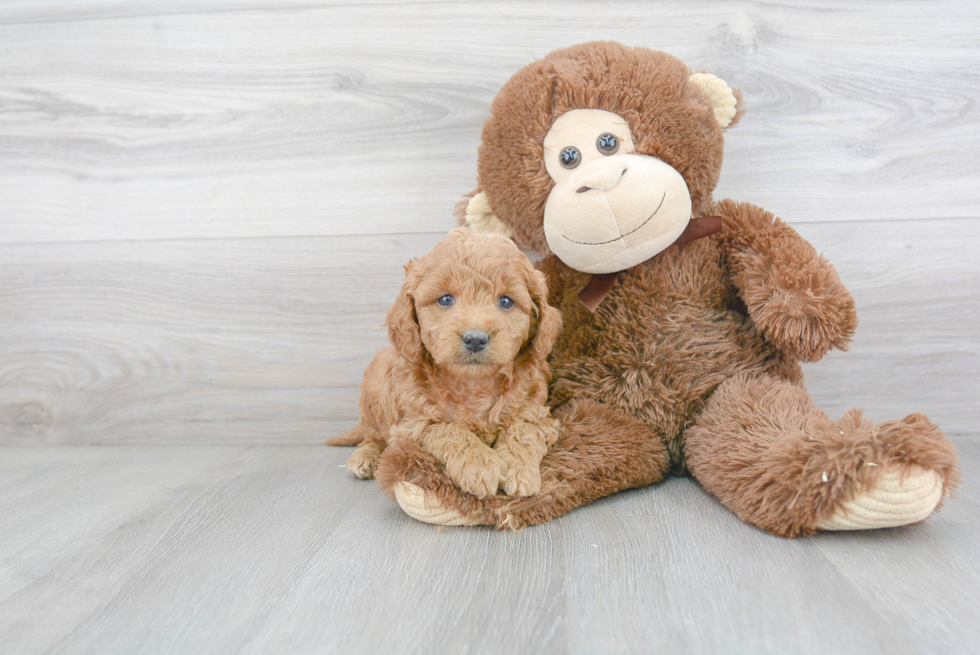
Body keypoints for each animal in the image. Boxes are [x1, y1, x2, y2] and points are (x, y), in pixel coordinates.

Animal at [328, 228, 564, 500]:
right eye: (445, 299)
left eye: (506, 301)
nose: (475, 338)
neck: (474, 385)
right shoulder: (413, 425)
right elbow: (449, 430)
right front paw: (479, 465)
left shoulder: (537, 414)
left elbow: (522, 430)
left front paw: (520, 468)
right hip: (372, 395)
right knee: (372, 435)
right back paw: (364, 457)